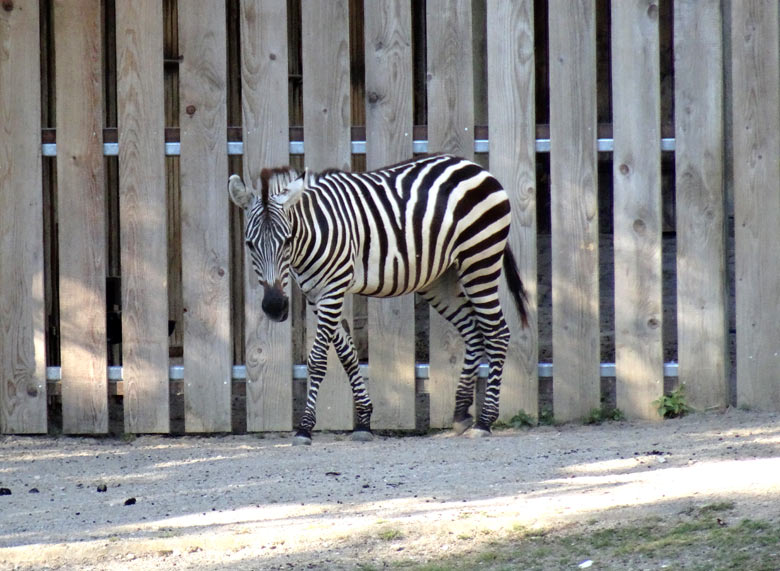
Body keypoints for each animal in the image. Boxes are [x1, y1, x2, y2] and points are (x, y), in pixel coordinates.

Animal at [227, 154, 532, 444]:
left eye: (287, 240)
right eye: (249, 244)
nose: (274, 307)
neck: (313, 233)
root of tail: (475, 167)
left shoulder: (332, 290)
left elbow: (318, 360)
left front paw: (304, 428)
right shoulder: (316, 295)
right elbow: (348, 355)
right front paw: (363, 420)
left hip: (479, 261)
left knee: (497, 333)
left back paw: (485, 421)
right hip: (440, 279)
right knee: (472, 331)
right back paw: (460, 413)